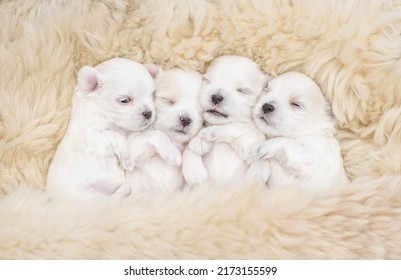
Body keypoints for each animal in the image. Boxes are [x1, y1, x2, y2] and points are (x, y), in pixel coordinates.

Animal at [47, 58, 156, 200]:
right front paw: (127, 159)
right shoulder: (93, 136)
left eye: (152, 95)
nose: (148, 113)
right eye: (124, 100)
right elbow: (117, 137)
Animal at [183, 54, 270, 186]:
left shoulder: (251, 144)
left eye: (242, 90)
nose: (216, 97)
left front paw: (205, 134)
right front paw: (195, 171)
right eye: (208, 81)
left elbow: (238, 126)